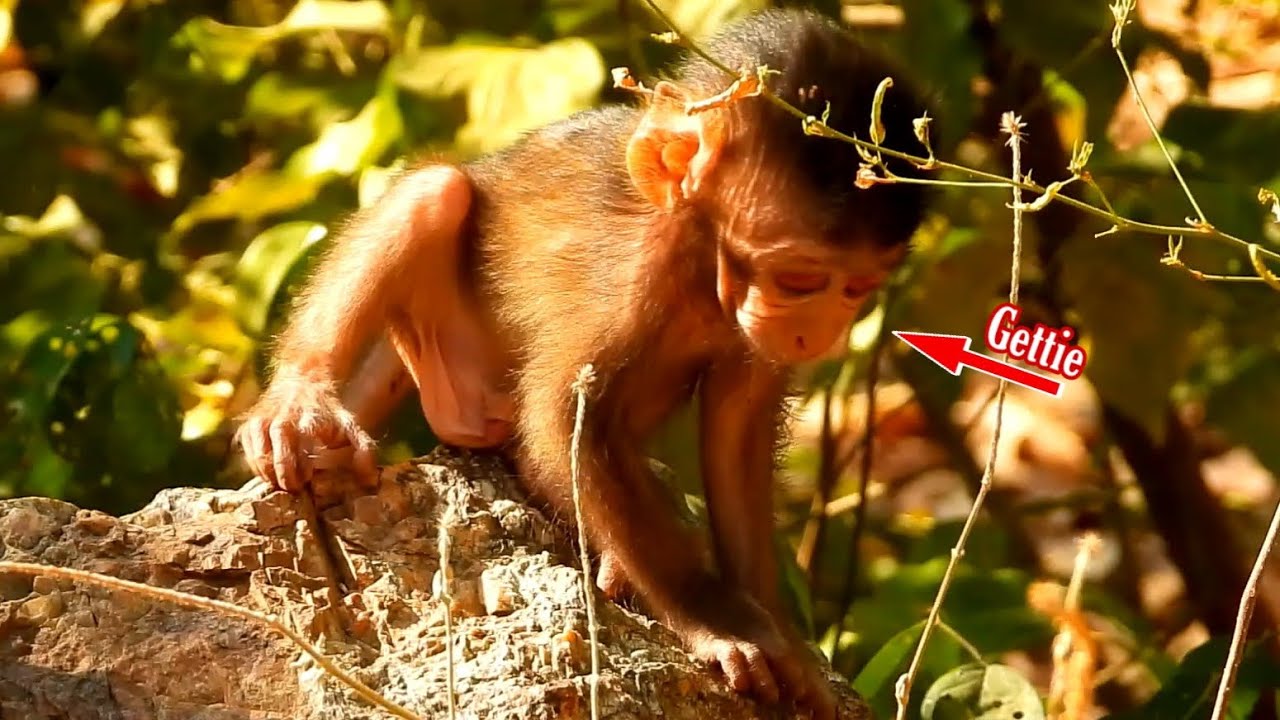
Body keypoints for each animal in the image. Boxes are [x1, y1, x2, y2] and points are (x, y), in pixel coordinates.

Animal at [236, 9, 930, 717]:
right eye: (799, 280)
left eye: (858, 290)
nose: (816, 333)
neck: (698, 259)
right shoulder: (628, 277)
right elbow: (564, 417)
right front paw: (715, 625)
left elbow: (738, 429)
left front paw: (780, 638)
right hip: (448, 358)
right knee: (435, 194)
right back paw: (300, 397)